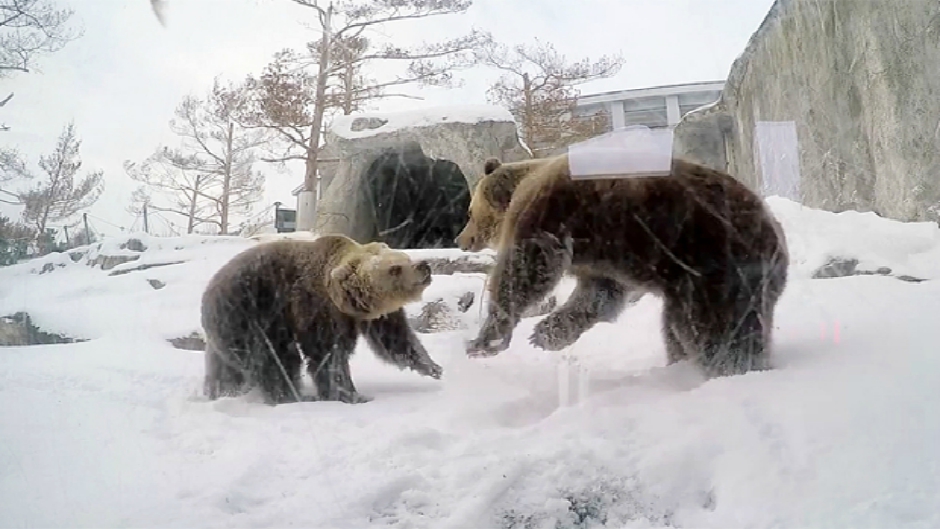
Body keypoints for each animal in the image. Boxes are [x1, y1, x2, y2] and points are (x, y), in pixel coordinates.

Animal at [200, 234, 443, 406]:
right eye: (395, 269)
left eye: (405, 257)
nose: (423, 266)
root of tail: (208, 291)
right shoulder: (317, 307)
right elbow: (328, 353)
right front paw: (351, 394)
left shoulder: (376, 316)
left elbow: (394, 339)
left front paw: (432, 367)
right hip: (249, 313)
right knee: (273, 358)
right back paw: (291, 396)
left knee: (226, 368)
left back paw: (222, 391)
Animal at [455, 154, 789, 378]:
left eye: (470, 211)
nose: (462, 239)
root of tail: (778, 241)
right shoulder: (597, 260)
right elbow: (598, 294)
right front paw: (547, 332)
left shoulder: (550, 215)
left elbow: (525, 270)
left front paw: (485, 339)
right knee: (677, 327)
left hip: (712, 266)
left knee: (712, 332)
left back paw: (729, 369)